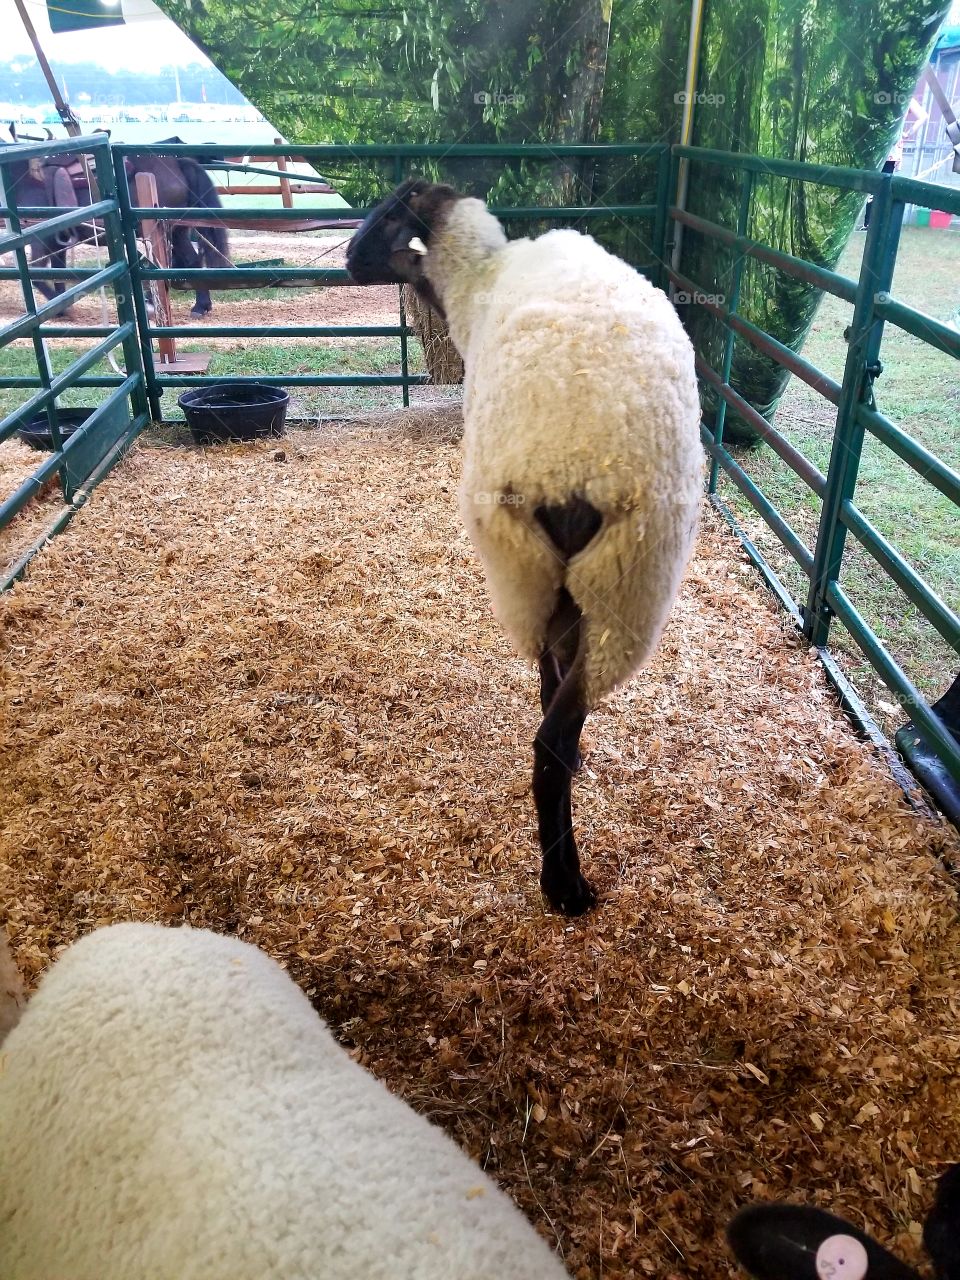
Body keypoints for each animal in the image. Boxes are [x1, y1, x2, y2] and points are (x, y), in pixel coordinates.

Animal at [347, 180, 704, 915]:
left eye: (387, 215)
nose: (345, 258)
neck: (477, 279)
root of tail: (582, 463)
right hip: (618, 584)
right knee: (561, 722)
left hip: (538, 575)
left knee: (546, 741)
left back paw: (562, 885)